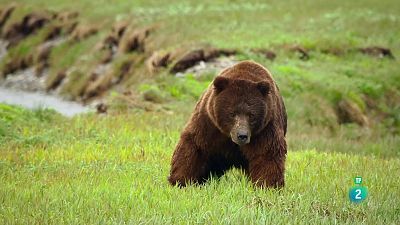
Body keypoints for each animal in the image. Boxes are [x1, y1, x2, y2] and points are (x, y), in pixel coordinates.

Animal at [167, 60, 286, 188]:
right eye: (232, 113)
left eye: (251, 115)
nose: (242, 135)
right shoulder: (209, 122)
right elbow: (195, 145)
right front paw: (180, 180)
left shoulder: (265, 127)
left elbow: (266, 153)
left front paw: (267, 185)